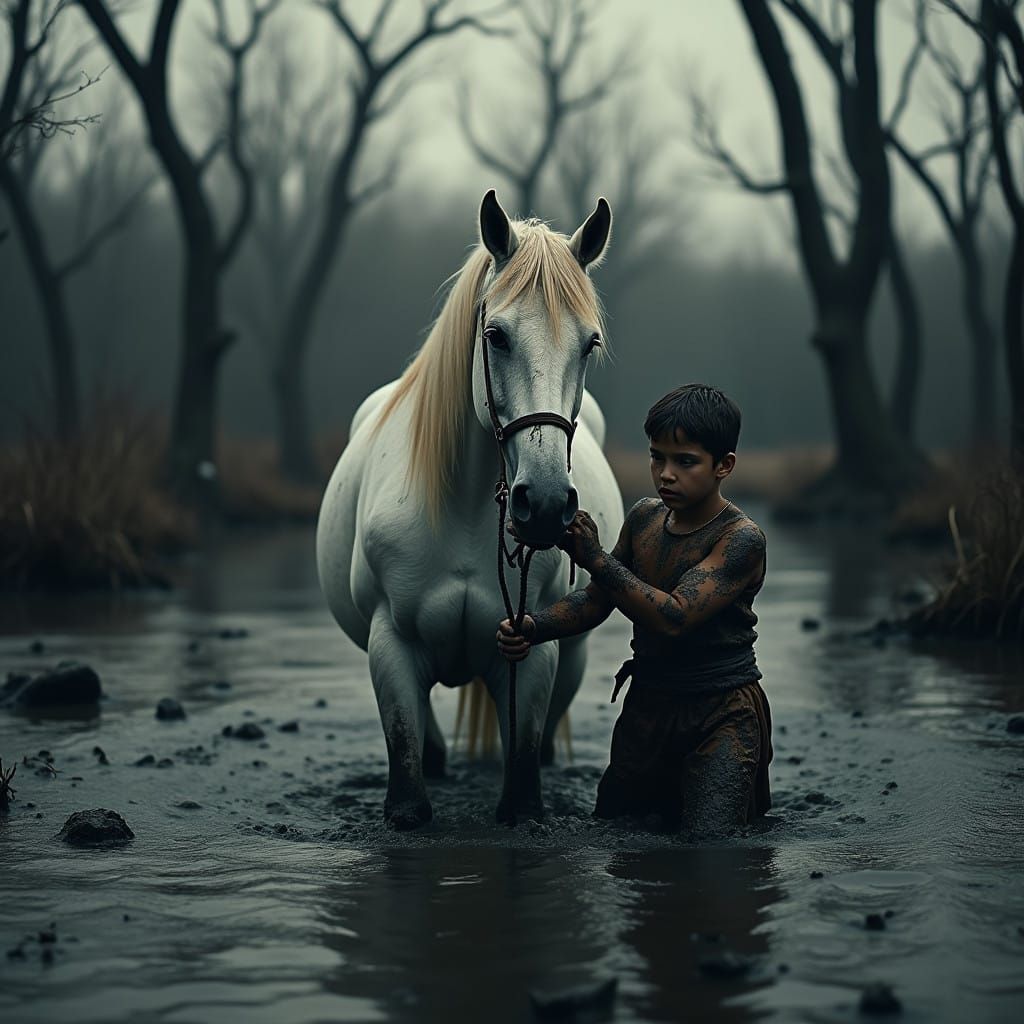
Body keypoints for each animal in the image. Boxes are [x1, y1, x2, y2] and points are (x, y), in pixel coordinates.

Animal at [316, 190, 624, 829]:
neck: (460, 513)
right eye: (496, 335)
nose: (546, 504)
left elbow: (524, 780)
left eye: (590, 343)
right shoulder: (391, 647)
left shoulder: (533, 653)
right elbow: (408, 784)